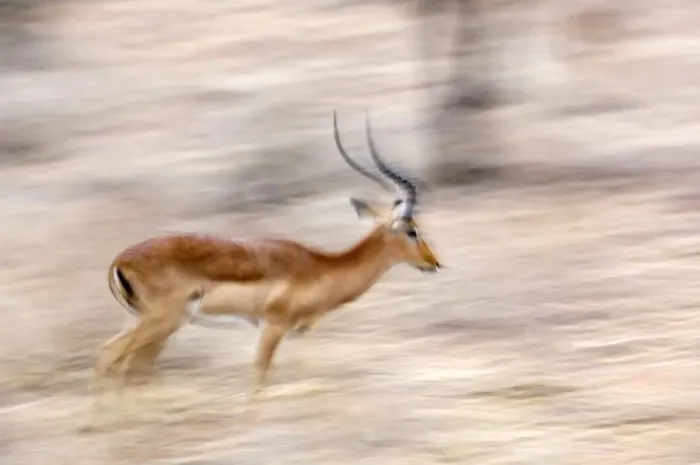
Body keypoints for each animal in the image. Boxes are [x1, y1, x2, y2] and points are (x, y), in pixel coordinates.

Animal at [93, 110, 441, 401]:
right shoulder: (273, 327)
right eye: (412, 230)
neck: (321, 267)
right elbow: (260, 376)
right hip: (159, 323)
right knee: (110, 358)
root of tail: (119, 261)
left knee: (124, 364)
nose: (434, 263)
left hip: (144, 322)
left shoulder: (298, 335)